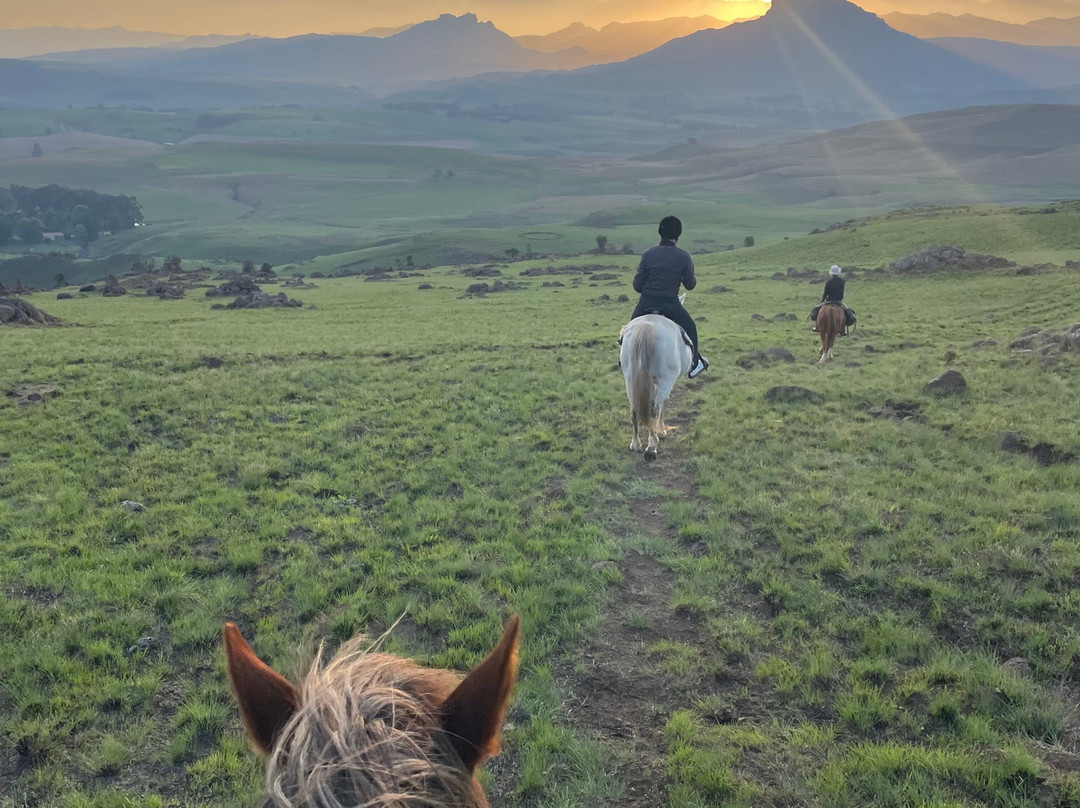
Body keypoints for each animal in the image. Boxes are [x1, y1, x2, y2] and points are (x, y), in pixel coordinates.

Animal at [619, 308, 692, 461]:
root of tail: (647, 327)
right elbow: (664, 403)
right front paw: (661, 431)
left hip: (630, 377)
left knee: (634, 409)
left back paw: (636, 444)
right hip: (666, 379)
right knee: (654, 409)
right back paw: (652, 447)